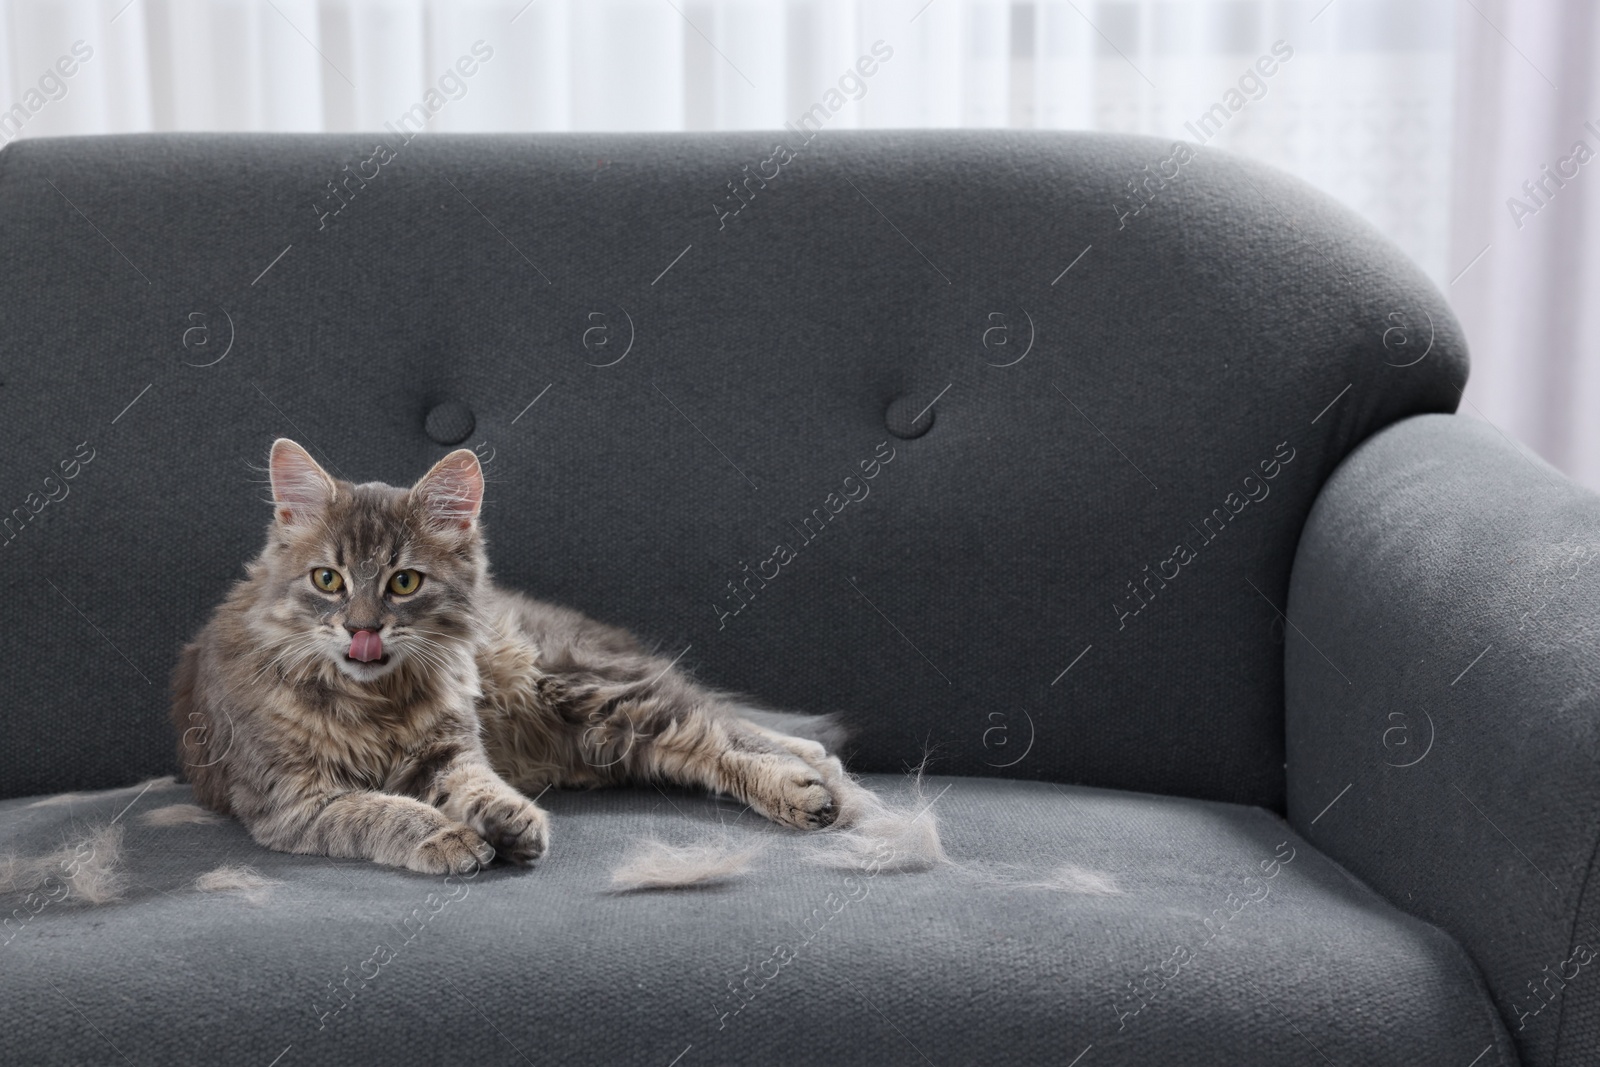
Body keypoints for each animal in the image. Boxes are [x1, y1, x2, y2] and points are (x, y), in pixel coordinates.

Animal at [173, 438, 844, 870]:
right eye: (327, 580)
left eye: (404, 583)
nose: (363, 630)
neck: (373, 700)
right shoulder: (294, 799)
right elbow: (381, 812)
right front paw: (453, 838)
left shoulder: (450, 751)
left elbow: (475, 784)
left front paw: (506, 819)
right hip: (605, 737)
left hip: (581, 685)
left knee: (709, 723)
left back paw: (804, 779)